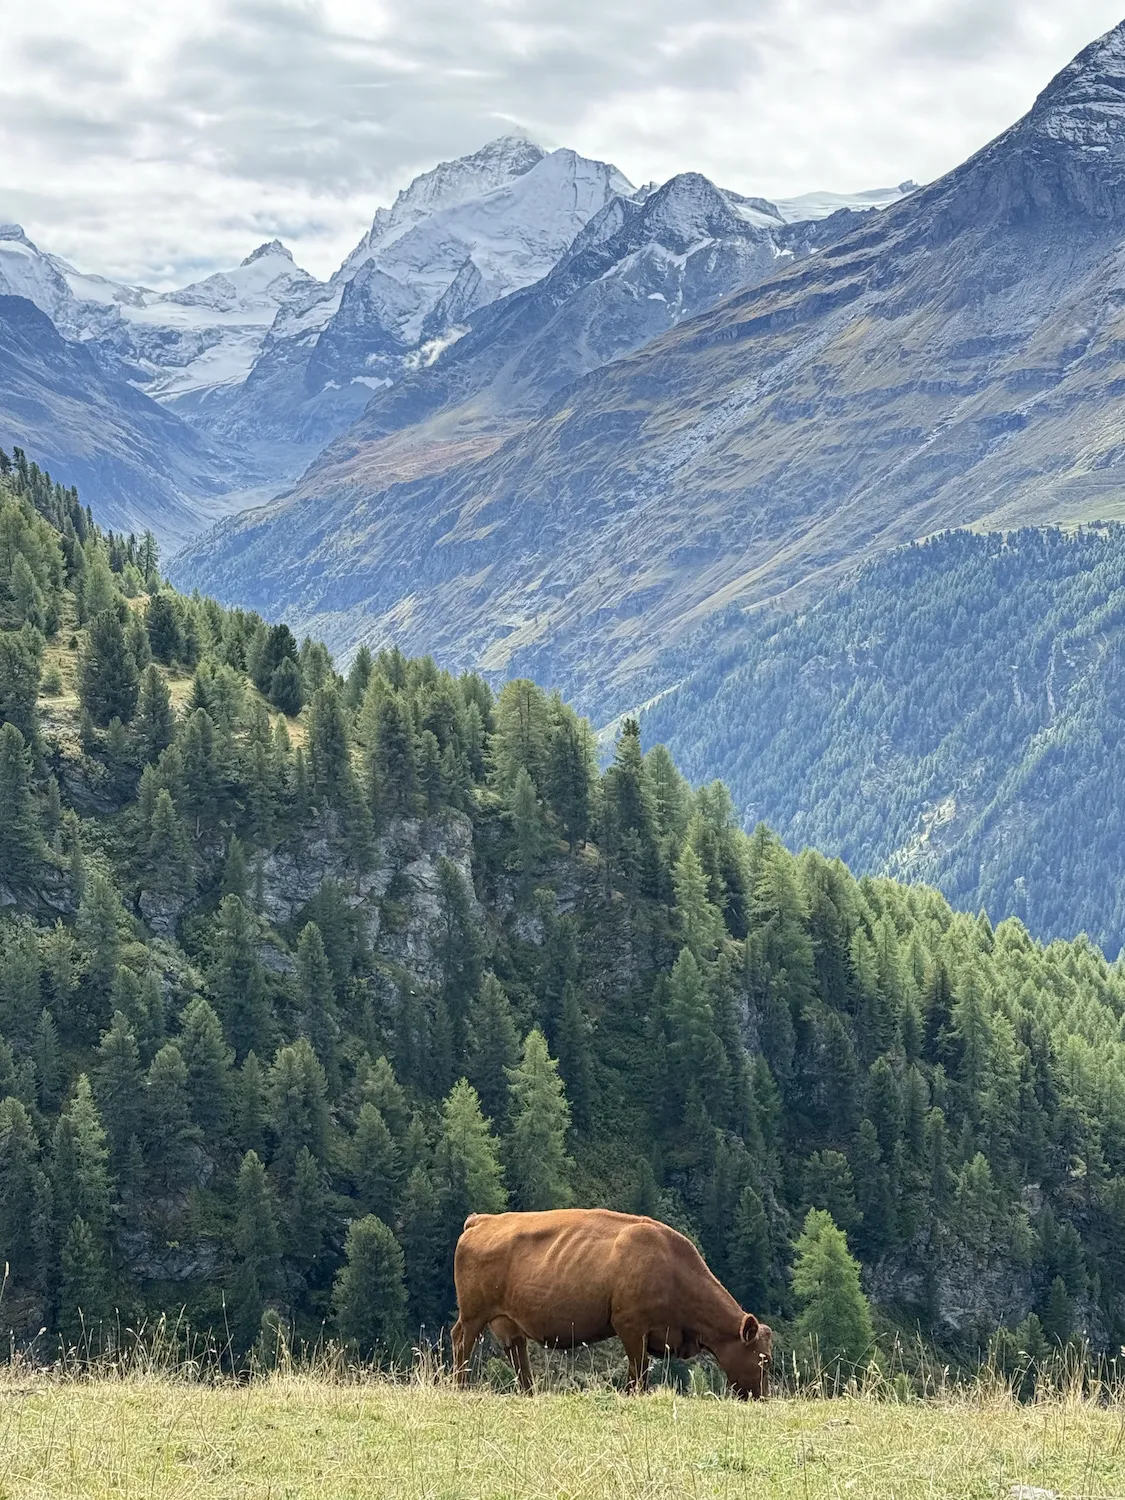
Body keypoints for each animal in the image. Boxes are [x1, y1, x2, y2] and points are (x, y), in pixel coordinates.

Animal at [450, 1207, 773, 1398]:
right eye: (763, 1359)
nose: (760, 1396)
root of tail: (483, 1220)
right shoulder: (630, 1325)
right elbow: (638, 1369)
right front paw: (632, 1395)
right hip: (473, 1313)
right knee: (462, 1341)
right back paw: (460, 1387)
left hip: (507, 1320)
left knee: (517, 1353)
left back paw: (529, 1393)